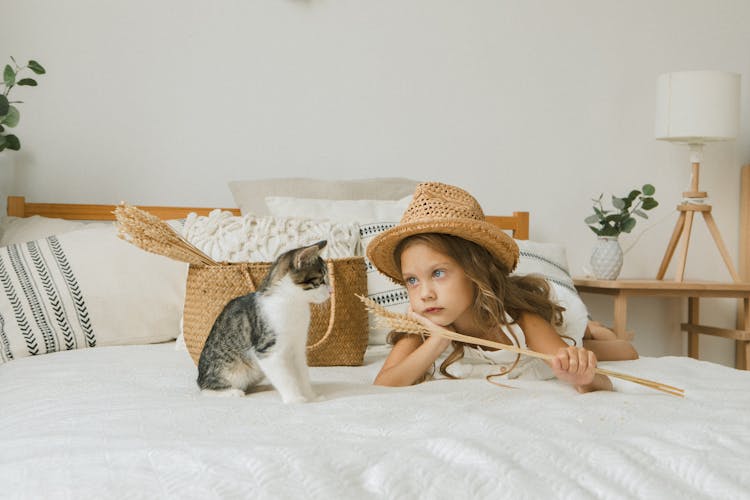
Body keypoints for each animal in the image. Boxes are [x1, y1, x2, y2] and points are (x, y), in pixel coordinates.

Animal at [197, 241, 328, 402]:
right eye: (321, 280)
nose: (330, 291)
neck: (293, 304)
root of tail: (199, 378)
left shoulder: (298, 346)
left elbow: (302, 374)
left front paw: (312, 397)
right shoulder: (267, 350)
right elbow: (285, 377)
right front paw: (295, 398)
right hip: (231, 369)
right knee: (206, 389)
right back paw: (232, 392)